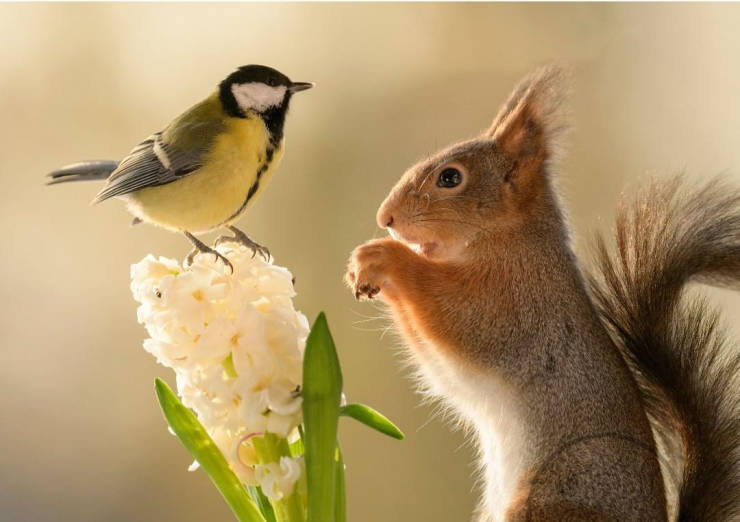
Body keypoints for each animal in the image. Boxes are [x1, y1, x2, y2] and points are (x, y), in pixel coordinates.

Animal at [346, 67, 740, 516]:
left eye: (450, 177)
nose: (386, 217)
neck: (508, 241)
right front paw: (365, 271)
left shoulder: (515, 306)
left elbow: (455, 314)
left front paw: (384, 257)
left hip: (553, 498)